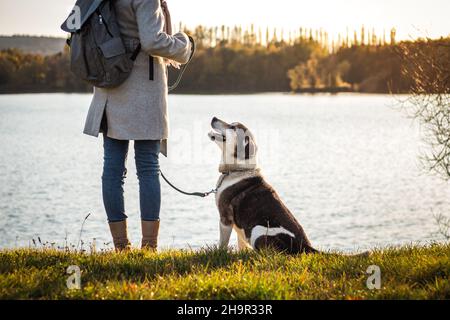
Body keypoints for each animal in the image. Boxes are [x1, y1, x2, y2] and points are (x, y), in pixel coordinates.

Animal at [207, 116, 316, 254]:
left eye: (232, 127)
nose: (214, 117)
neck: (237, 170)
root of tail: (304, 246)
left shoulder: (225, 218)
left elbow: (223, 243)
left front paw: (219, 253)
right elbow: (241, 244)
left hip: (257, 229)